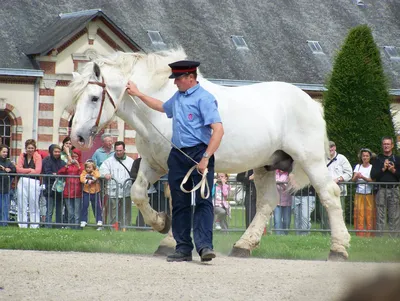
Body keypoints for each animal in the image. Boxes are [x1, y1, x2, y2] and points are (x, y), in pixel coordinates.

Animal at [71, 48, 350, 258]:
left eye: (94, 97)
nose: (77, 137)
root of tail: (311, 103)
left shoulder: (176, 166)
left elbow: (177, 201)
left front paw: (169, 241)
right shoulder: (153, 164)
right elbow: (139, 193)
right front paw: (161, 223)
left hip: (311, 161)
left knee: (330, 194)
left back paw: (338, 249)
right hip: (265, 165)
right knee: (267, 202)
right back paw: (243, 245)